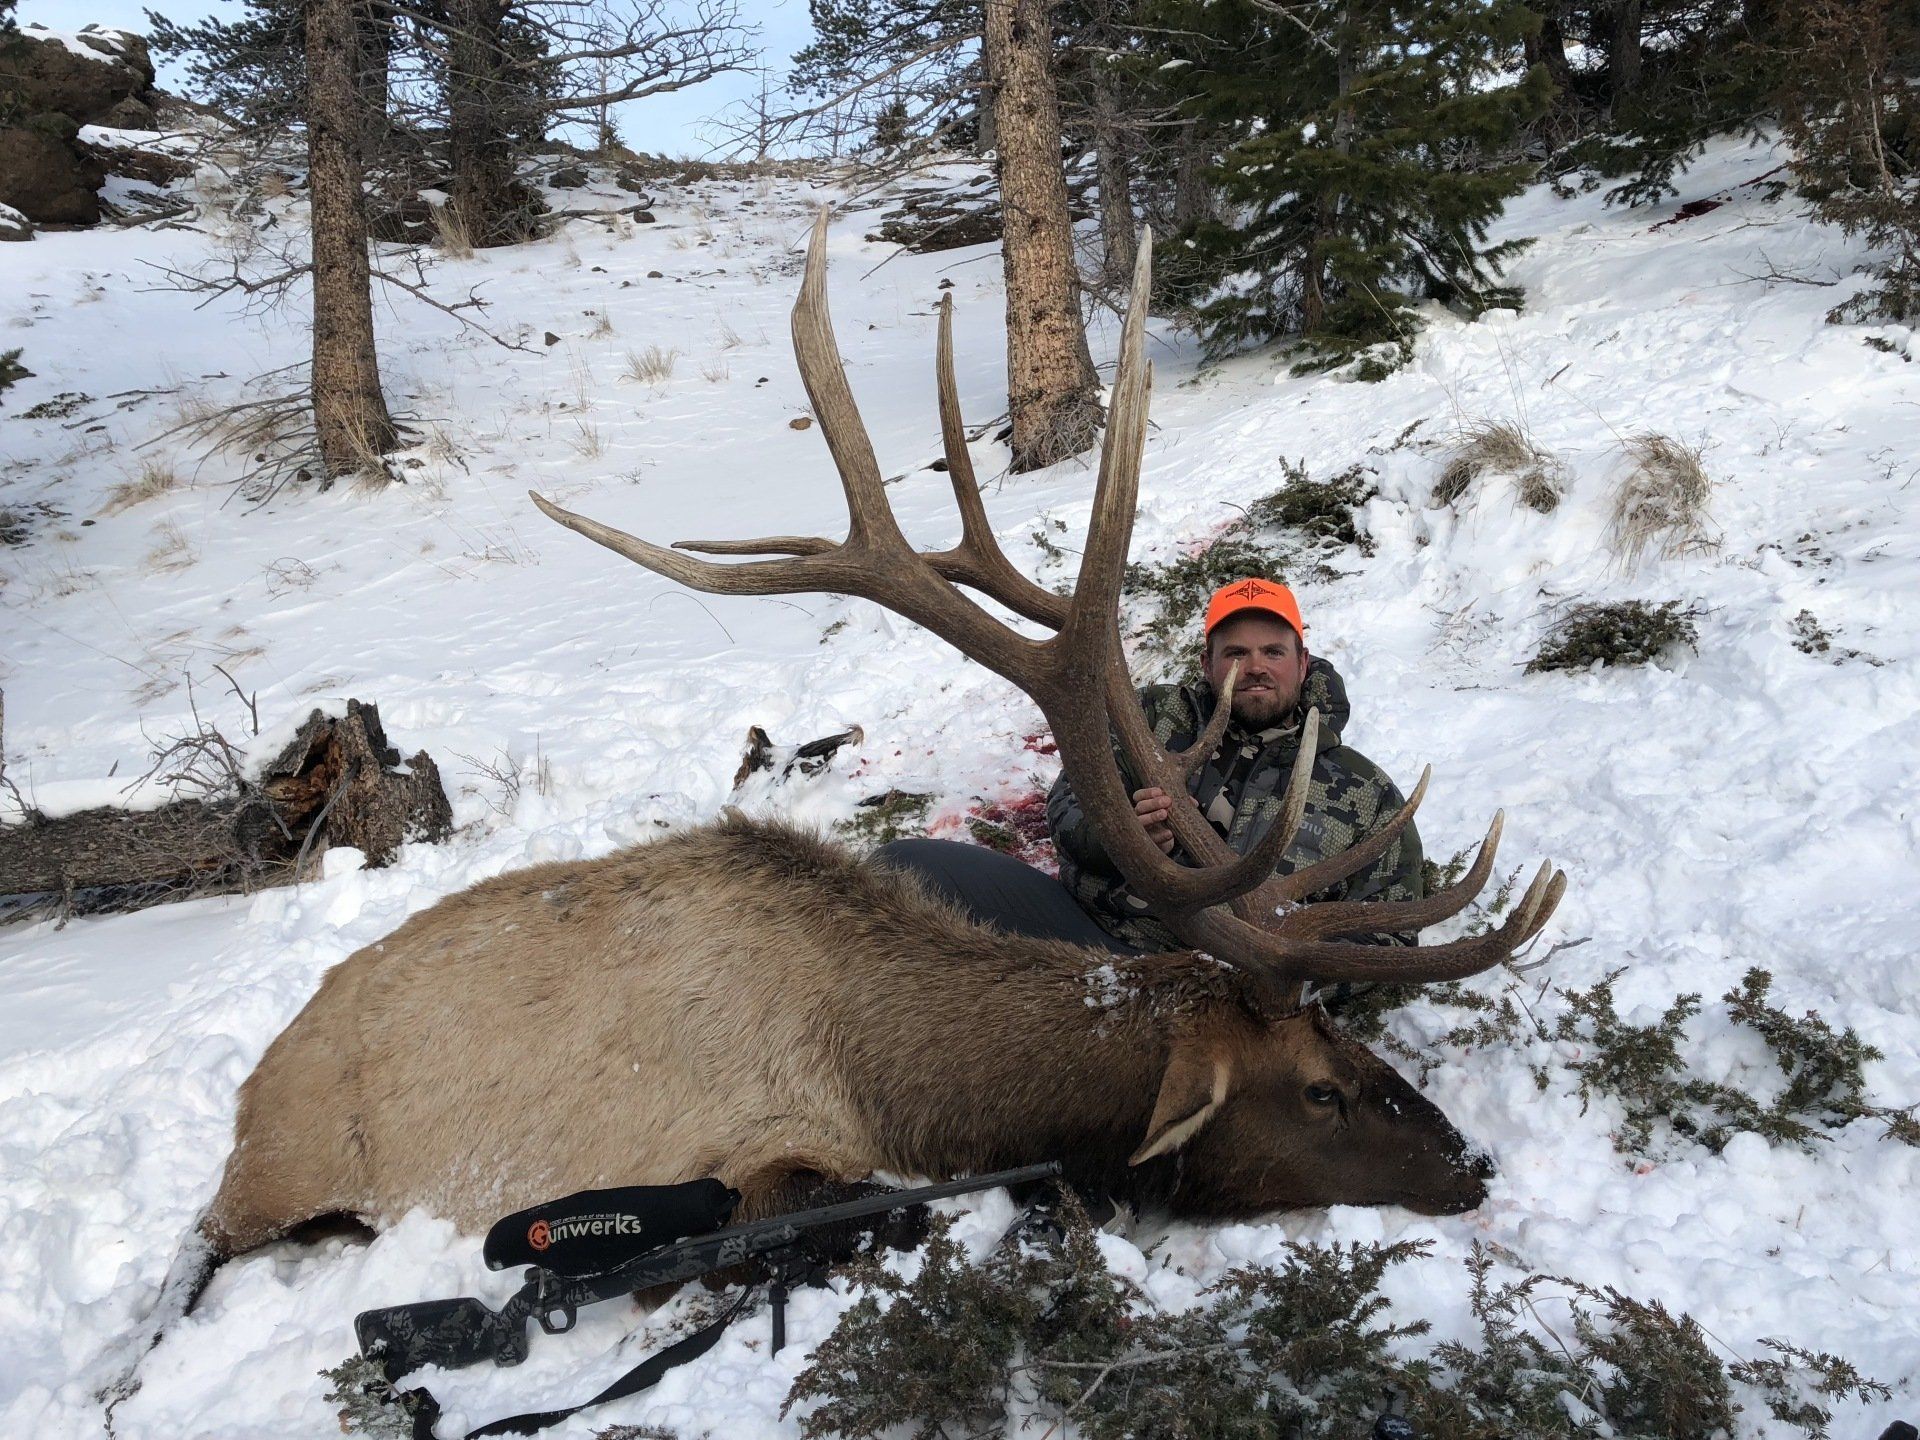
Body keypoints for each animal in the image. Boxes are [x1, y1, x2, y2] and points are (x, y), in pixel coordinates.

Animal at [111, 213, 1564, 1400]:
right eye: (1319, 1088)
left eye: (1352, 1046)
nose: (1471, 1164)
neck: (905, 1076)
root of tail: (254, 1087)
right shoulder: (732, 1155)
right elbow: (858, 1211)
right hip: (281, 1172)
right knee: (193, 1258)